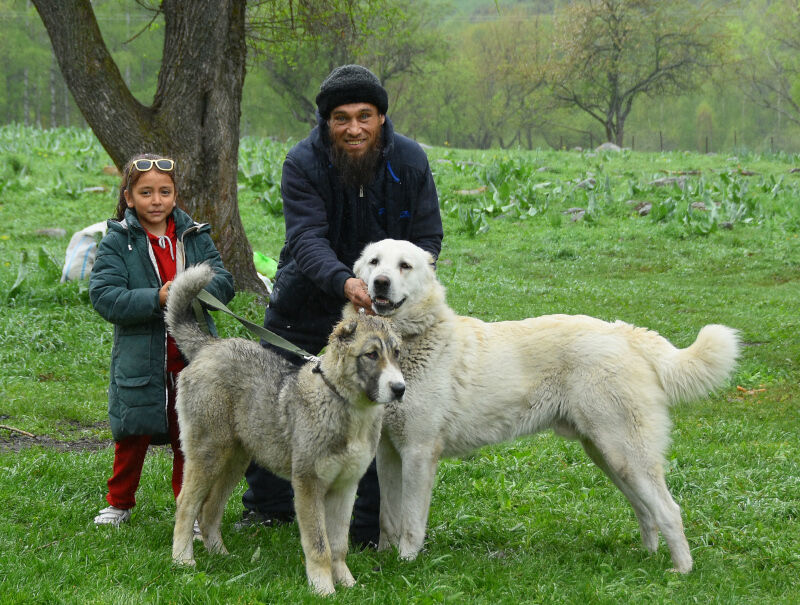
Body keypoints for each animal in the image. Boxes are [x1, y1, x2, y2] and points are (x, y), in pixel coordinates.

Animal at [167, 264, 406, 596]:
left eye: (396, 354)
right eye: (371, 355)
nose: (399, 389)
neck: (345, 405)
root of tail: (209, 346)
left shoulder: (345, 487)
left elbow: (338, 545)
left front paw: (346, 583)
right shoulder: (308, 484)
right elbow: (319, 545)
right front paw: (323, 589)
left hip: (236, 459)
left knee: (210, 509)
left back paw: (221, 555)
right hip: (208, 453)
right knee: (187, 504)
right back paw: (182, 560)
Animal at [346, 238, 740, 572]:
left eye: (405, 266)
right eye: (375, 262)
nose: (380, 283)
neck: (409, 344)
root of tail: (625, 333)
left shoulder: (419, 452)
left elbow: (411, 521)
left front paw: (406, 563)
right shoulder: (389, 454)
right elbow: (388, 517)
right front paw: (384, 560)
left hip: (625, 453)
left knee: (669, 510)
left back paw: (681, 572)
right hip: (609, 456)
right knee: (645, 509)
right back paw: (648, 557)